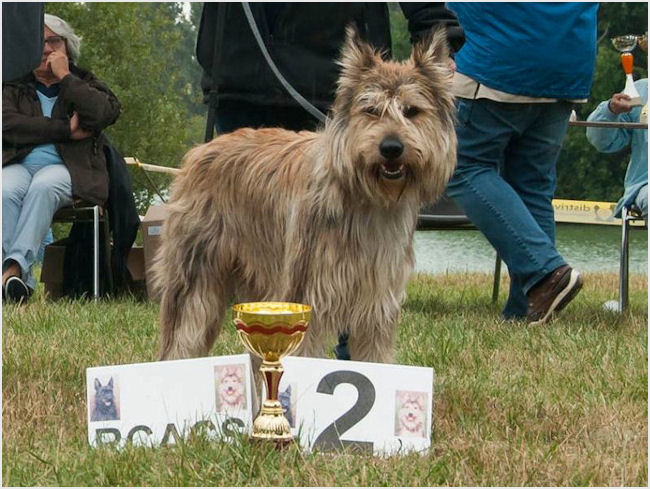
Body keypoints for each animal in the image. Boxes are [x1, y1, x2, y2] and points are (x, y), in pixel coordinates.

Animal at [154, 26, 454, 362]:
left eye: (411, 111)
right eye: (371, 110)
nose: (391, 148)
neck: (364, 197)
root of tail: (199, 151)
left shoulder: (376, 306)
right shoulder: (308, 294)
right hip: (194, 283)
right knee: (180, 342)